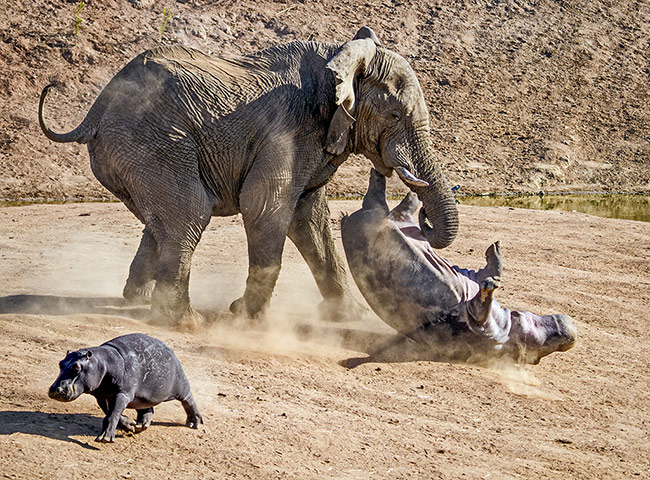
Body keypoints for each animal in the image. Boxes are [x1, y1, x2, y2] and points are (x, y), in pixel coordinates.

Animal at [39, 25, 456, 326]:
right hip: (151, 141)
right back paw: (184, 322)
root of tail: (95, 111)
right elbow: (266, 206)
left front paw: (348, 317)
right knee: (190, 212)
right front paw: (247, 317)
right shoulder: (288, 130)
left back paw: (136, 299)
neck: (341, 57)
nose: (422, 218)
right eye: (395, 115)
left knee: (163, 220)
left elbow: (310, 218)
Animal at [49, 334, 201, 442]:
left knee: (188, 400)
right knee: (147, 409)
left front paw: (104, 439)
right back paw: (141, 425)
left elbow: (113, 414)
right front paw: (131, 426)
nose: (55, 390)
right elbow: (111, 413)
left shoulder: (122, 394)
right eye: (60, 363)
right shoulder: (102, 396)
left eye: (76, 367)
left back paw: (194, 423)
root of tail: (169, 348)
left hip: (181, 385)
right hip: (143, 397)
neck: (102, 363)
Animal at [342, 171, 576, 366]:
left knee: (383, 201)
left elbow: (480, 306)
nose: (570, 335)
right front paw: (495, 252)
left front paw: (490, 285)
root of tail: (347, 220)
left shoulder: (480, 324)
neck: (510, 332)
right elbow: (491, 271)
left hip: (375, 217)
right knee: (394, 206)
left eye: (540, 353)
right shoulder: (476, 285)